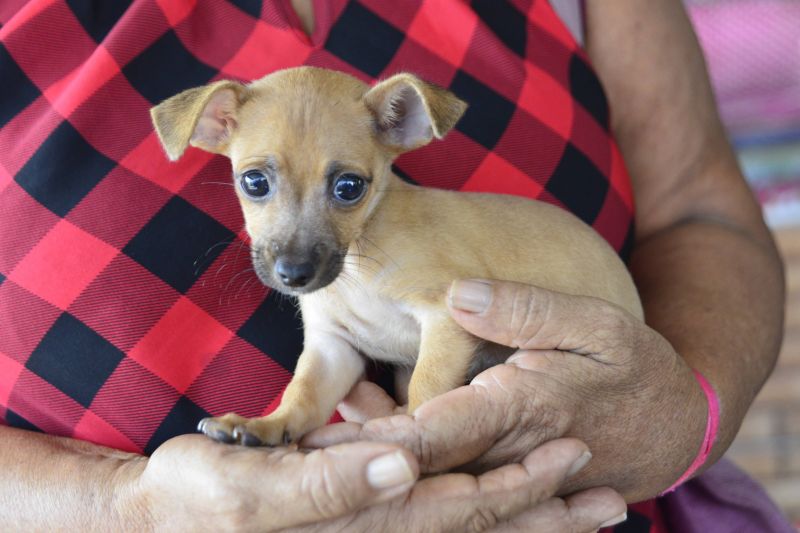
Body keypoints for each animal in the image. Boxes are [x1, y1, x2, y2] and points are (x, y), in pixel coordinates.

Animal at [150, 66, 643, 446]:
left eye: (349, 187)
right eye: (254, 182)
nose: (294, 274)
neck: (359, 266)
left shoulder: (445, 320)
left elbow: (427, 387)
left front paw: (417, 429)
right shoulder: (333, 348)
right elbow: (304, 393)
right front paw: (268, 425)